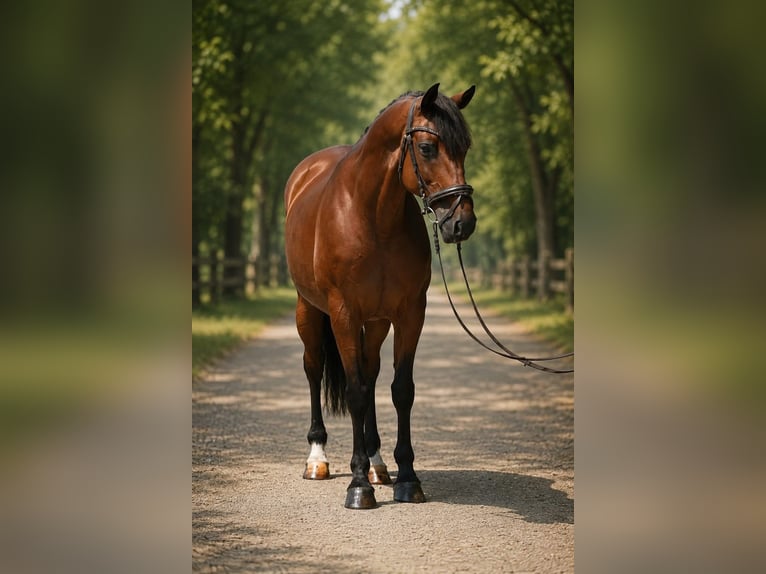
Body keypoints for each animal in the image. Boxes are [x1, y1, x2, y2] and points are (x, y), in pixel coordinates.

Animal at [284, 83, 477, 509]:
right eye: (428, 148)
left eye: (466, 148)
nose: (462, 222)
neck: (372, 216)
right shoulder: (343, 313)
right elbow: (354, 392)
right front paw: (358, 486)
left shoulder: (409, 314)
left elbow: (400, 390)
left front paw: (407, 478)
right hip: (310, 310)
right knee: (314, 368)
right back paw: (318, 458)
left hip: (374, 323)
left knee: (371, 374)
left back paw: (377, 462)